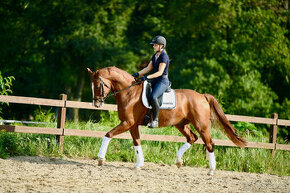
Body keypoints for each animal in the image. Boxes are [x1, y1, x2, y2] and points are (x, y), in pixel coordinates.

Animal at [86, 66, 247, 175]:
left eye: (98, 85)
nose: (96, 104)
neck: (129, 92)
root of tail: (202, 96)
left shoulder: (127, 123)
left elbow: (108, 135)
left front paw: (100, 158)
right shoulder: (132, 125)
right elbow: (137, 143)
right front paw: (139, 164)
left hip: (201, 126)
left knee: (209, 143)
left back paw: (211, 170)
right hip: (181, 125)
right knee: (192, 138)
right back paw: (179, 161)